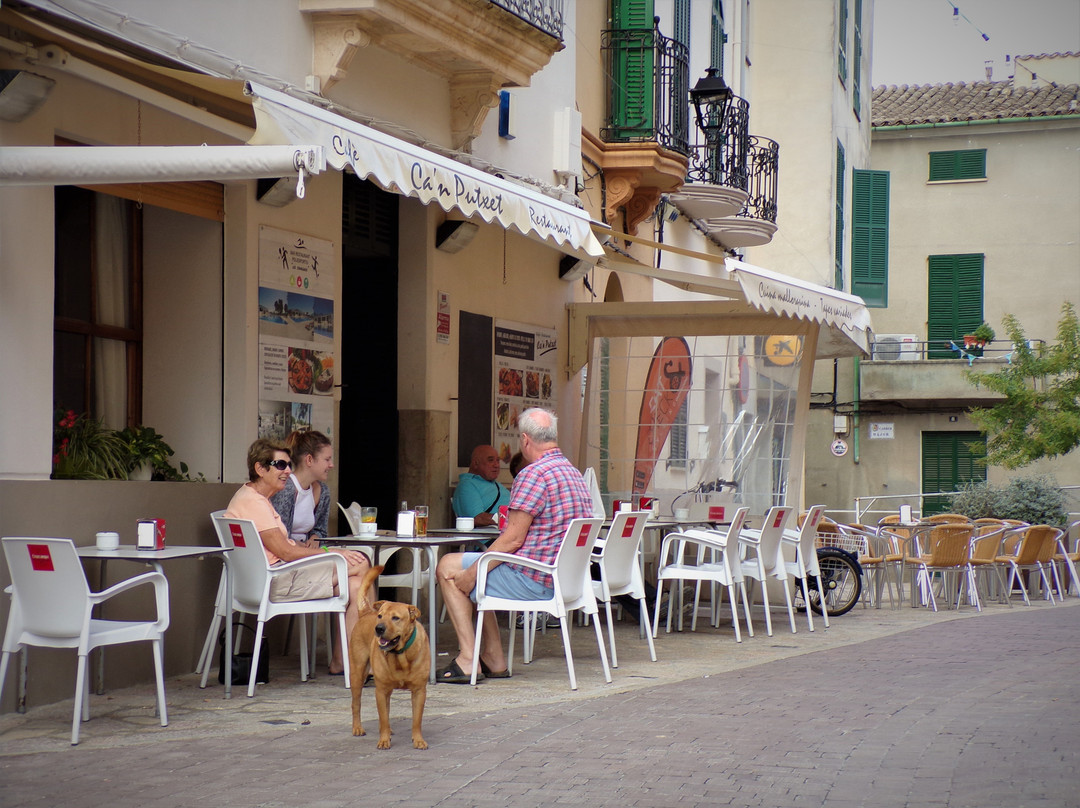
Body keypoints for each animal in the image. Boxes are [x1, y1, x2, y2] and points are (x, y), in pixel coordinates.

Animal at [347, 566, 427, 747]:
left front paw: (418, 740)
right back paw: (357, 728)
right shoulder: (381, 690)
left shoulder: (419, 690)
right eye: (380, 616)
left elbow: (417, 720)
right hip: (358, 673)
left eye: (396, 618)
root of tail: (367, 612)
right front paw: (384, 740)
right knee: (356, 704)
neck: (400, 655)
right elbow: (383, 718)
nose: (378, 628)